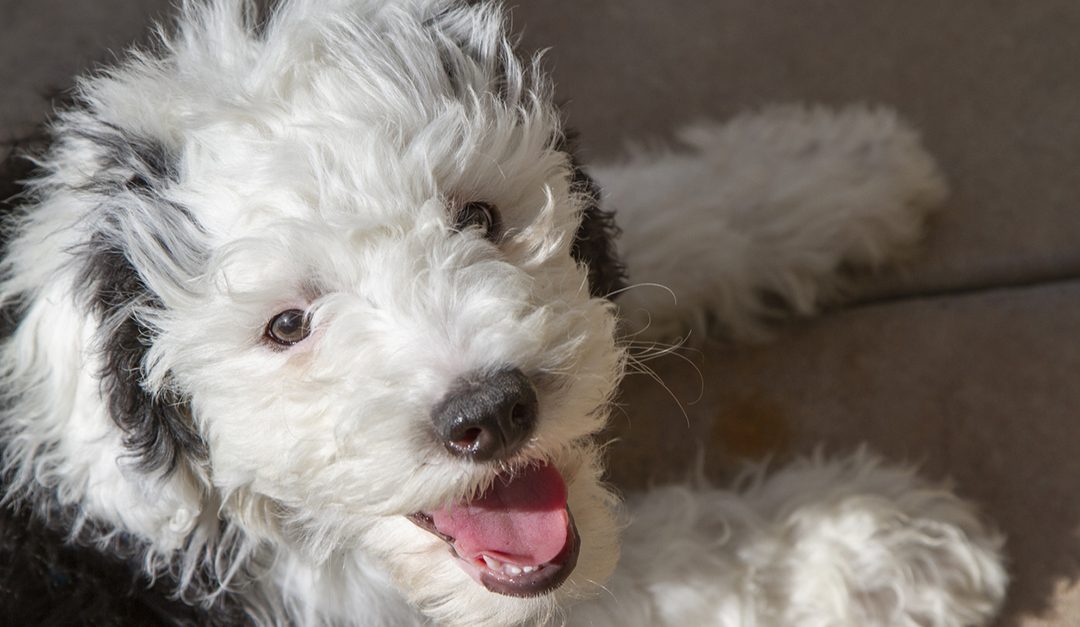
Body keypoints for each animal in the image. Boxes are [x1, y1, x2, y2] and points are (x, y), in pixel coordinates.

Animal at [2, 1, 1010, 625]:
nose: (489, 412)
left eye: (479, 218)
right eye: (286, 324)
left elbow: (668, 210)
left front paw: (829, 172)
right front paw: (887, 542)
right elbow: (676, 565)